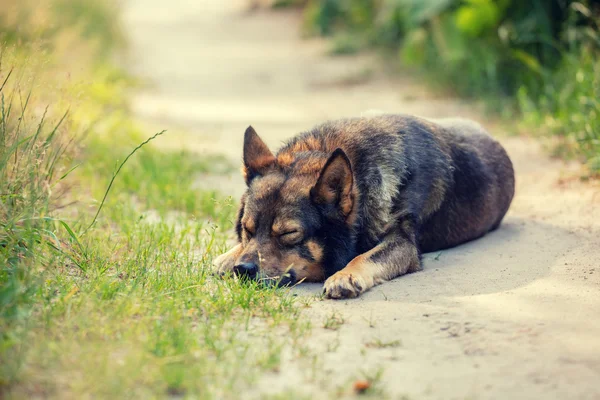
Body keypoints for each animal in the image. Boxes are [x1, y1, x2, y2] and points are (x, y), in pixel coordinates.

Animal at [214, 114, 516, 298]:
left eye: (289, 235)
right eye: (247, 230)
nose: (243, 270)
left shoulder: (404, 244)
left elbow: (366, 256)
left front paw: (345, 275)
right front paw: (229, 256)